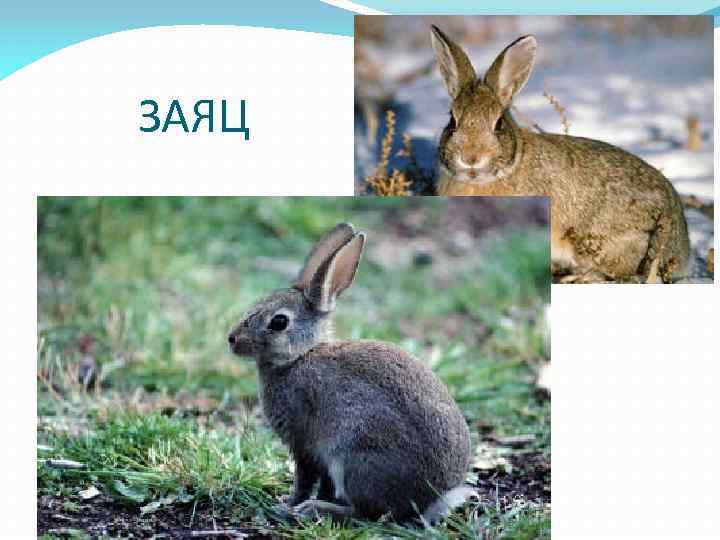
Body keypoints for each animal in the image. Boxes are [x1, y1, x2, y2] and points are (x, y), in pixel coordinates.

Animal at [227, 223, 474, 522]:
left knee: (367, 513)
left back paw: (316, 509)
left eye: (279, 322)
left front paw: (286, 505)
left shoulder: (304, 444)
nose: (232, 339)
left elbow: (304, 479)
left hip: (354, 458)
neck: (299, 357)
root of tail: (431, 499)